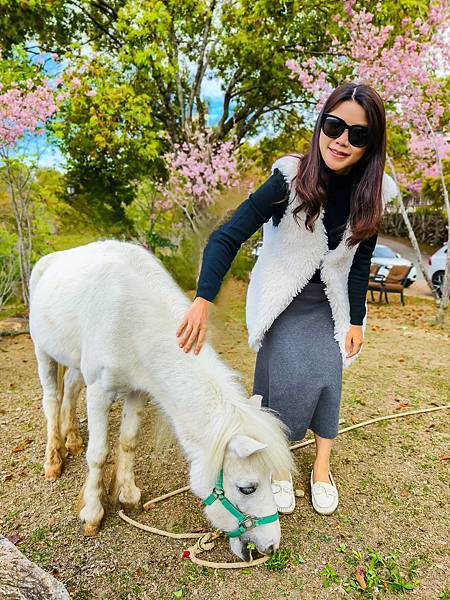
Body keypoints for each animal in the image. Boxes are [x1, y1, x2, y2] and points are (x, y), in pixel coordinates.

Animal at [29, 241, 296, 560]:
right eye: (247, 488)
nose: (271, 546)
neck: (130, 318)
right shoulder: (99, 392)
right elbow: (99, 454)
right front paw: (92, 513)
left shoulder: (137, 390)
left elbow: (128, 441)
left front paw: (127, 494)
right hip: (43, 351)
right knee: (52, 400)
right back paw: (53, 460)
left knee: (69, 388)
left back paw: (71, 439)